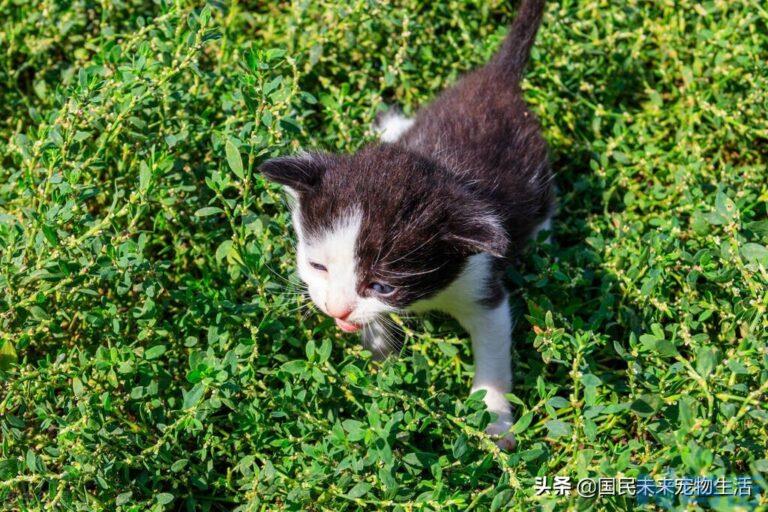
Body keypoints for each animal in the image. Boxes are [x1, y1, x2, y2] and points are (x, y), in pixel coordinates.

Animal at [260, 0, 556, 448]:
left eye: (383, 286)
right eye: (317, 266)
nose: (335, 309)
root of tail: (497, 80)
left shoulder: (482, 282)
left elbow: (492, 354)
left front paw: (495, 424)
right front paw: (384, 372)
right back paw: (390, 125)